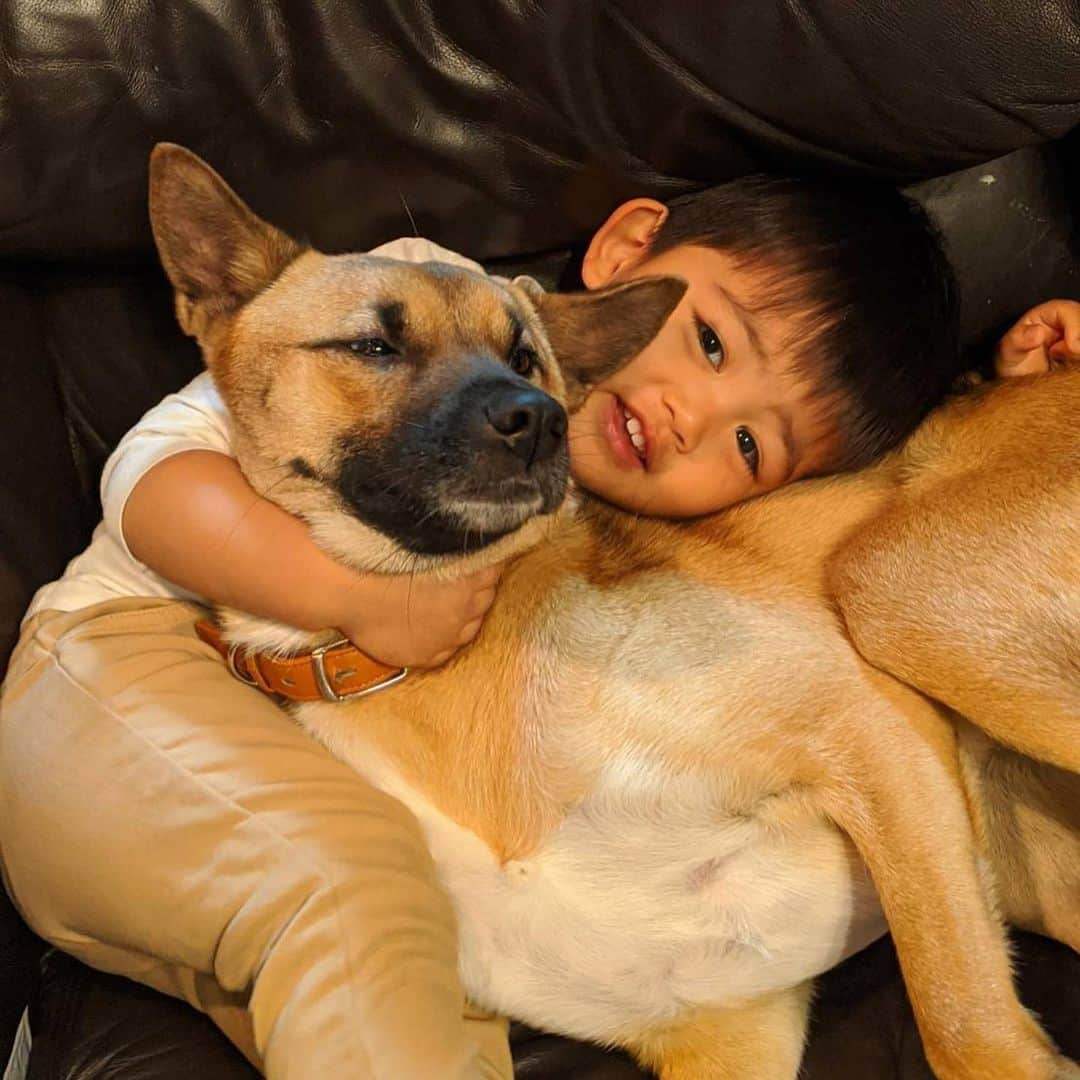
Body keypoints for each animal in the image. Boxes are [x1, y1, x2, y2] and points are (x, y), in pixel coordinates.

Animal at [147, 145, 1075, 1080]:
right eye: (373, 345)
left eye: (526, 356)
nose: (538, 421)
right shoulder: (730, 1029)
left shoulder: (872, 734)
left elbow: (962, 1028)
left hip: (899, 593)